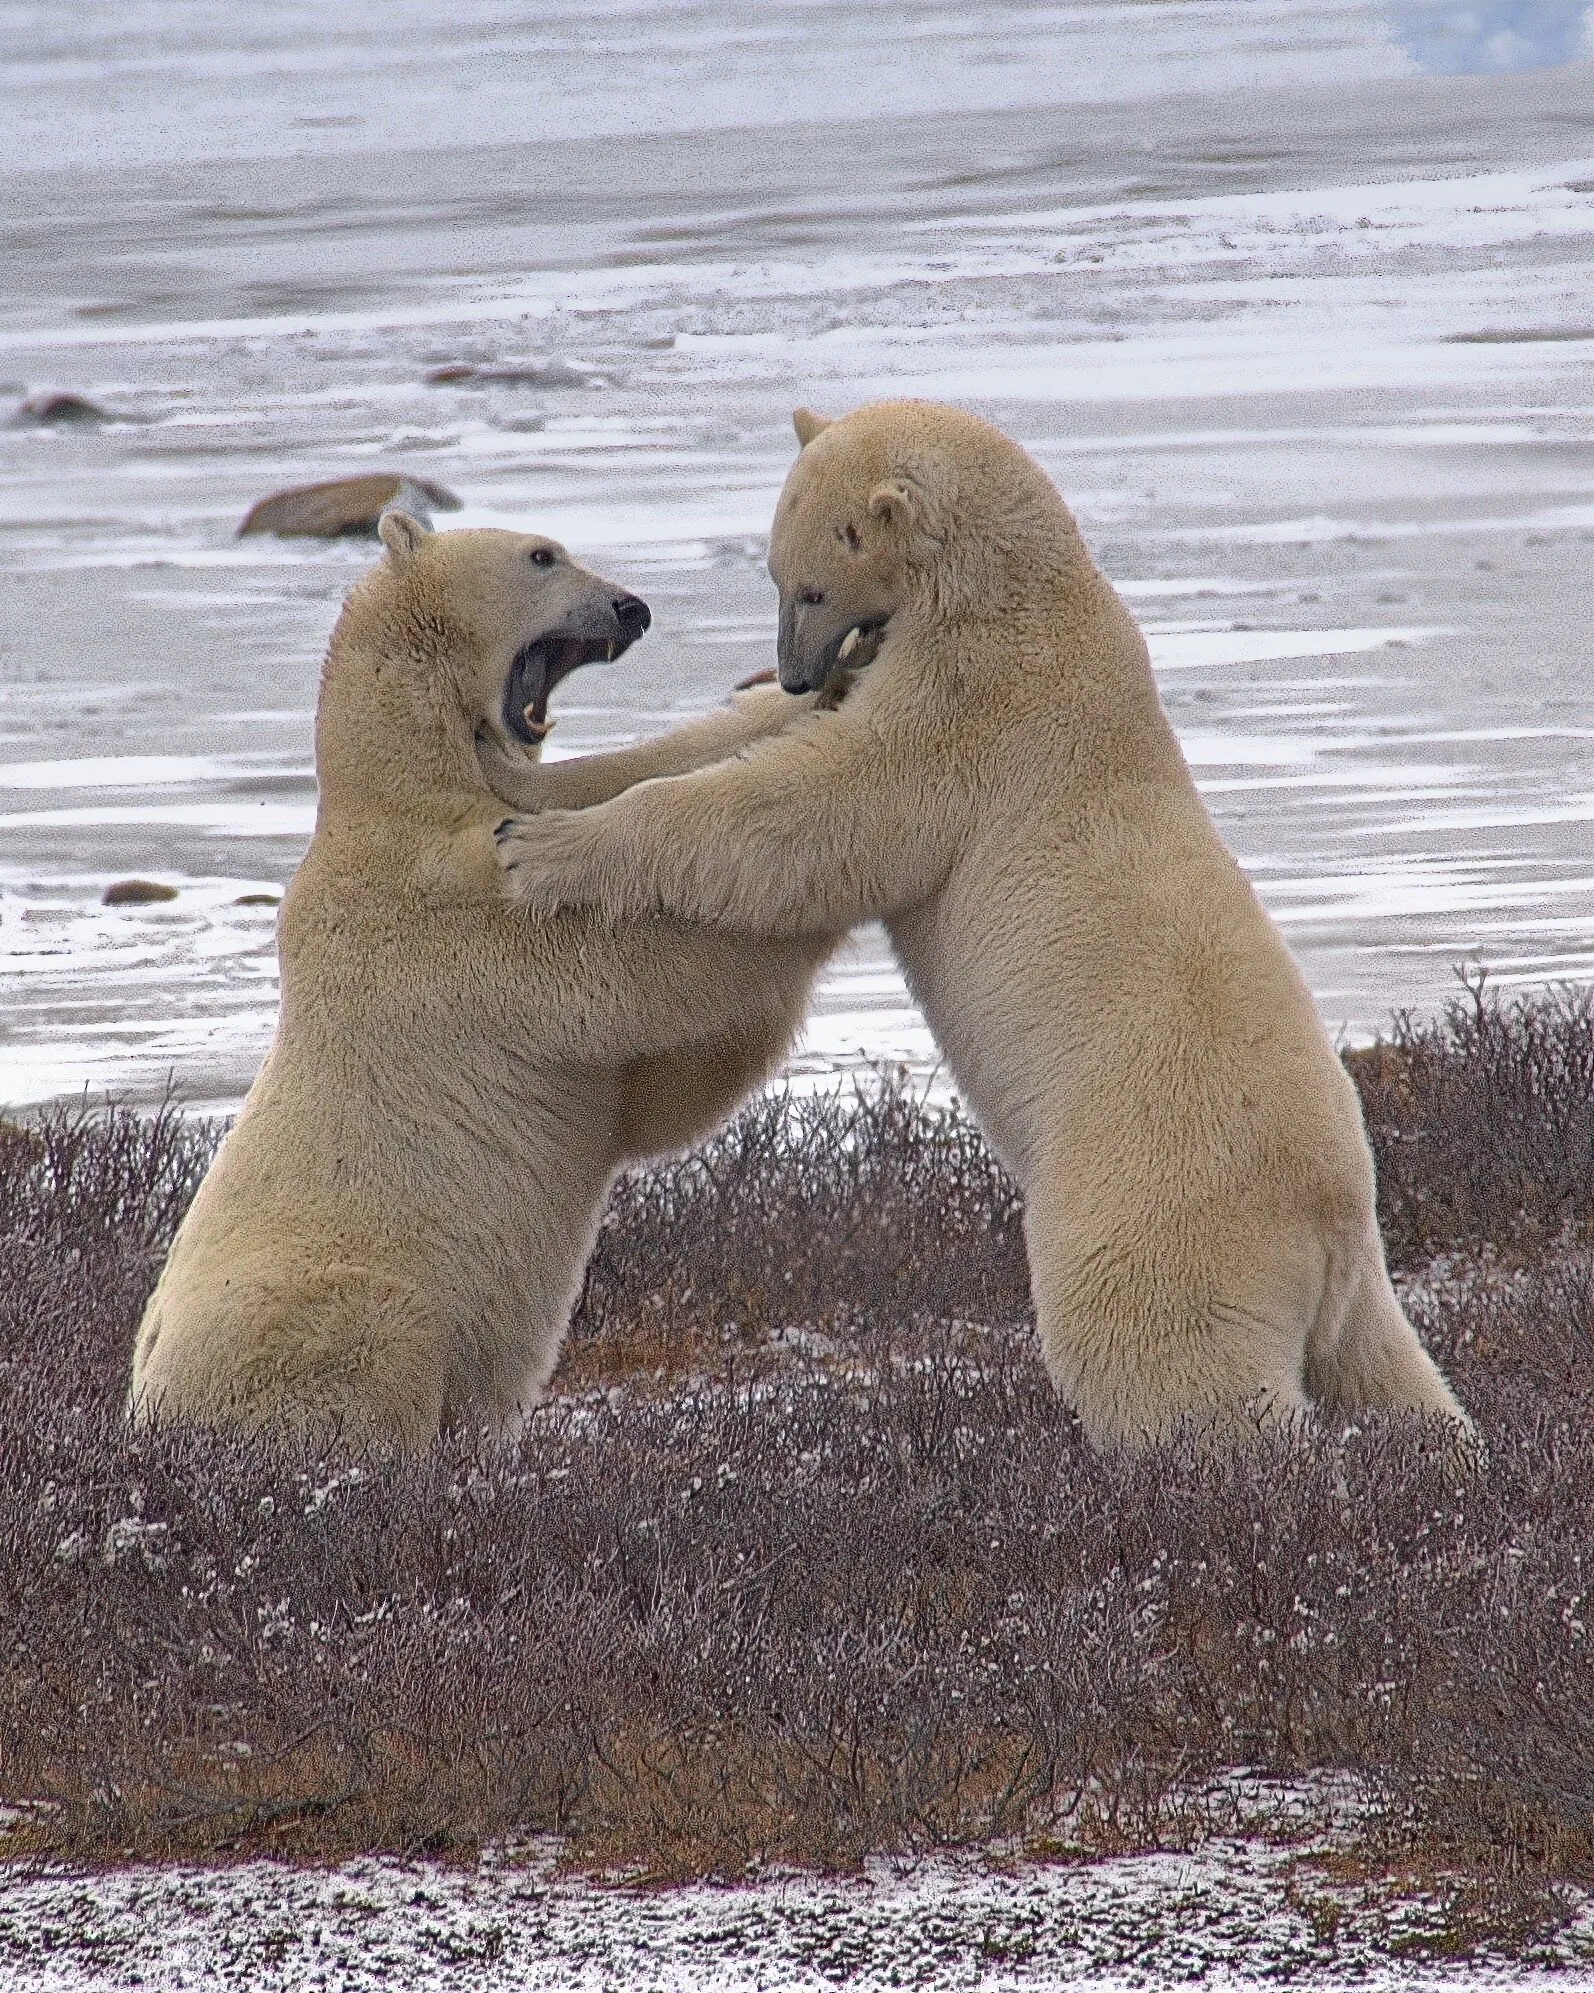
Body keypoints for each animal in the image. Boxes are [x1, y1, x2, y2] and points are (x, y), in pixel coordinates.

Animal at [128, 510, 842, 1446]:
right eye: (542, 556)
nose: (633, 606)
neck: (411, 788)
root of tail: (146, 1413)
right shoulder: (442, 914)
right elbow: (623, 970)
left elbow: (660, 1093)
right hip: (311, 1305)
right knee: (377, 1335)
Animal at [492, 399, 1474, 1453]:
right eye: (772, 577)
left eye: (808, 584)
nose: (792, 674)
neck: (1022, 595)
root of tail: (1331, 1222)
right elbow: (746, 745)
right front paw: (534, 778)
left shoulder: (971, 709)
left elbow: (809, 812)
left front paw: (542, 848)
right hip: (1355, 1286)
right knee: (1390, 1374)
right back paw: (1441, 1444)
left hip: (1159, 1200)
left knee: (1168, 1359)